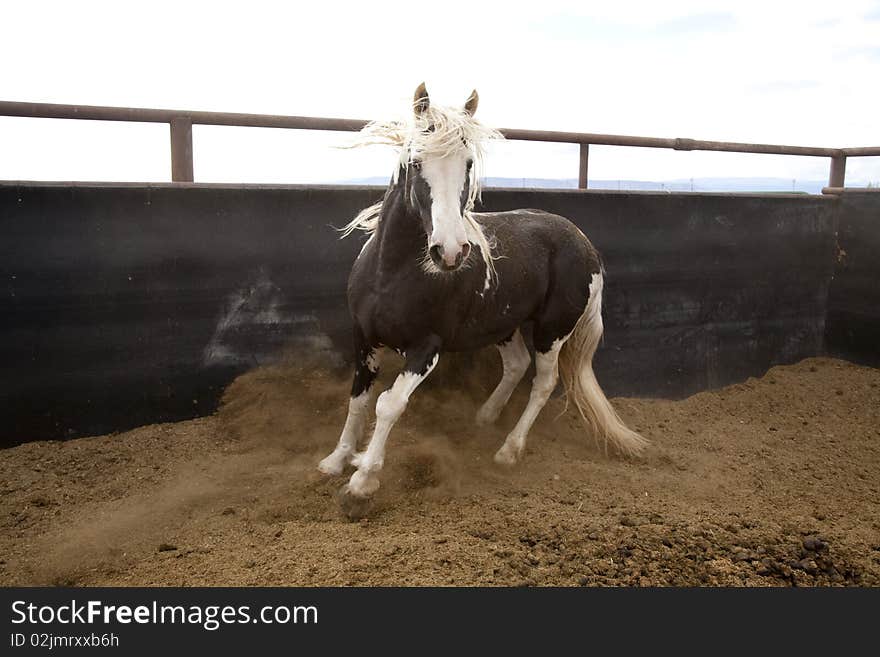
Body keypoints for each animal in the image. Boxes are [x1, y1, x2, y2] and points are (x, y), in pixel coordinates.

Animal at [318, 82, 648, 502]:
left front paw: (362, 480)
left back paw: (508, 450)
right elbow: (358, 398)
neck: (390, 275)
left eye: (469, 164)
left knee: (543, 383)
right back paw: (484, 417)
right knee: (517, 365)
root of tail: (583, 242)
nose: (450, 251)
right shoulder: (363, 337)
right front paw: (335, 460)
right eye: (415, 162)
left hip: (552, 331)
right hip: (504, 325)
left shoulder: (426, 348)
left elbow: (389, 404)